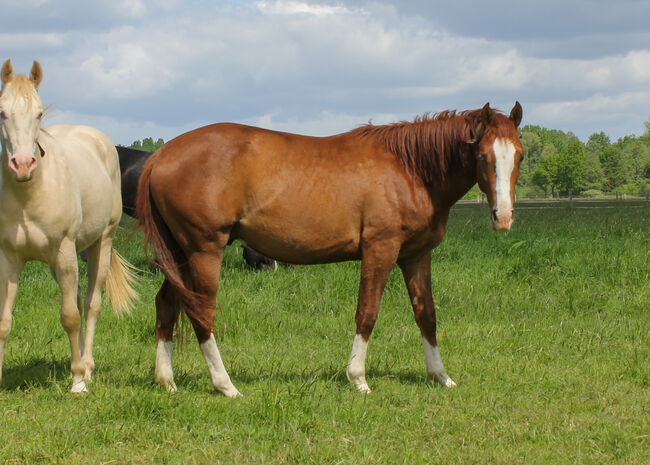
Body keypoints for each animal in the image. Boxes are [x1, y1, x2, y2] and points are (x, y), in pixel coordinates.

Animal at [0, 59, 137, 394]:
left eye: (38, 113)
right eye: (2, 112)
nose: (22, 165)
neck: (30, 195)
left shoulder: (63, 252)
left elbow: (71, 317)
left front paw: (77, 381)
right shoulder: (9, 260)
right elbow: (4, 322)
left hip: (101, 243)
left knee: (90, 304)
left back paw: (86, 366)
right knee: (75, 297)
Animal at [135, 101, 520, 396]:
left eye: (519, 154)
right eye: (482, 156)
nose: (502, 217)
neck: (408, 168)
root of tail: (161, 155)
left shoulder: (415, 256)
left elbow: (426, 314)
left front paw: (440, 376)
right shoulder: (380, 249)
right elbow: (367, 312)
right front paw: (358, 378)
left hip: (179, 254)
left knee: (166, 304)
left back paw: (166, 380)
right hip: (203, 252)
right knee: (201, 312)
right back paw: (225, 384)